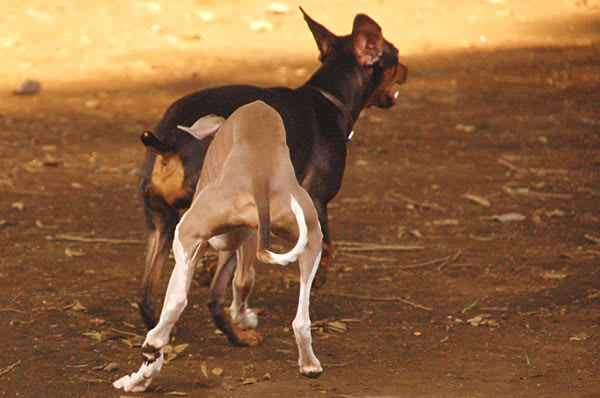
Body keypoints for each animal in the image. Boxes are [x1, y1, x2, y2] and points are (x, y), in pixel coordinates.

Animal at [138, 7, 406, 346]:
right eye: (396, 57)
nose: (407, 70)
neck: (329, 97)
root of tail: (171, 140)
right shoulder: (316, 200)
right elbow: (327, 244)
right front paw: (318, 278)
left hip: (160, 222)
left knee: (146, 294)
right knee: (213, 298)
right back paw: (240, 336)